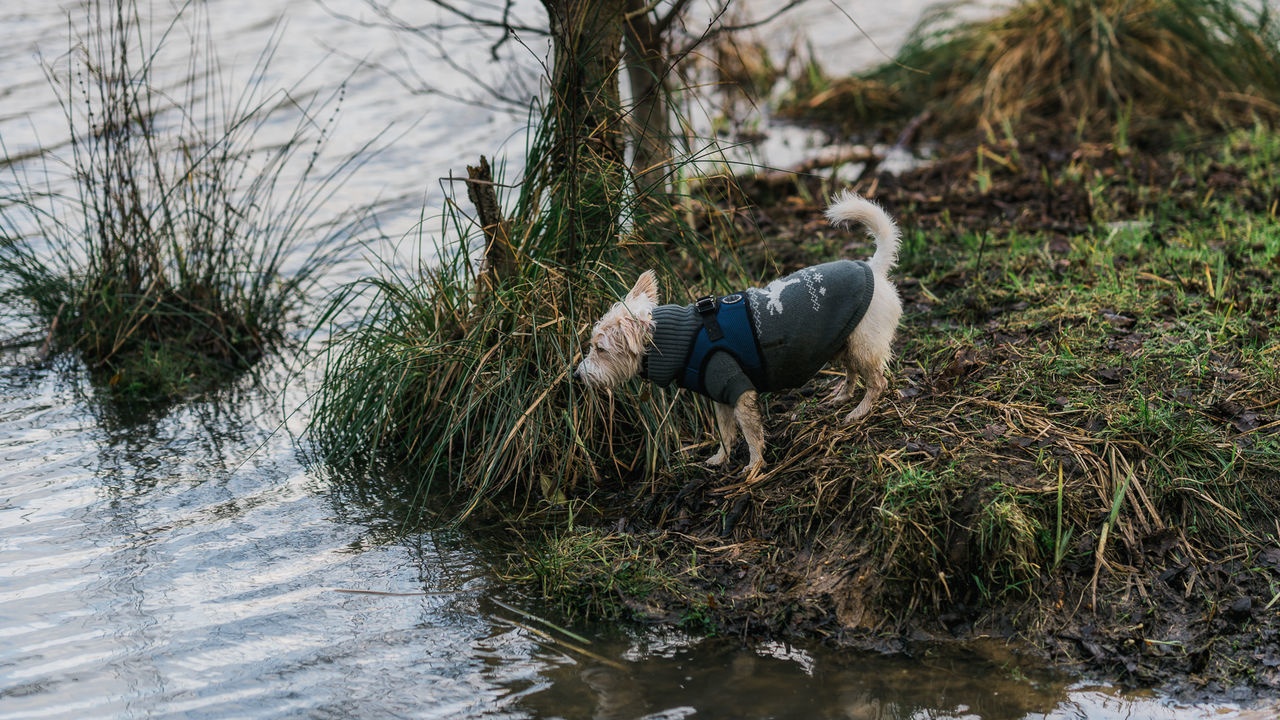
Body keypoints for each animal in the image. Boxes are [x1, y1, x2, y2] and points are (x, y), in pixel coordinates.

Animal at [576, 192, 906, 476]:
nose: (577, 375)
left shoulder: (739, 390)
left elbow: (750, 432)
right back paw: (842, 397)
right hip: (843, 342)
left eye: (600, 349)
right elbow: (724, 432)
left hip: (864, 345)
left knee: (878, 382)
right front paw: (720, 459)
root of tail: (873, 269)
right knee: (853, 372)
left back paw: (859, 411)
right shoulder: (719, 397)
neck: (683, 337)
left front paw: (754, 465)